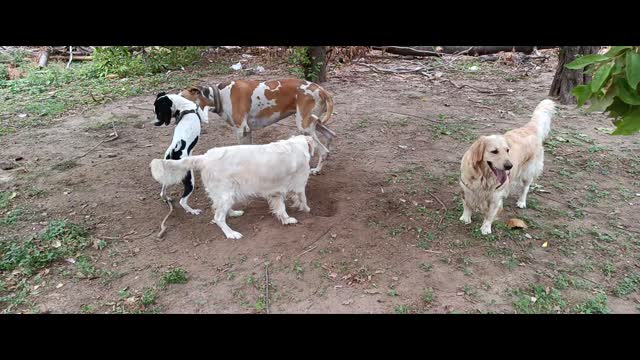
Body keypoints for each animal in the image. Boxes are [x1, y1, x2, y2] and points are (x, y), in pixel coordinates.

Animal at [148, 135, 312, 239]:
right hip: (226, 194)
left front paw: (286, 219)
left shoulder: (275, 192)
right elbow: (302, 198)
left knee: (219, 209)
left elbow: (280, 208)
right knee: (218, 217)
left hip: (225, 194)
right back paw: (231, 234)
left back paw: (233, 213)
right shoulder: (299, 185)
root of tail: (204, 157)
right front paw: (306, 210)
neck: (295, 146)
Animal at [178, 80, 332, 174]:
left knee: (324, 151)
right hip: (314, 124)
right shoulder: (247, 131)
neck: (220, 95)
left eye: (180, 99)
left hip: (304, 127)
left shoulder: (241, 130)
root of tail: (321, 89)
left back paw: (317, 170)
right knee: (331, 136)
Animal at [460, 98, 556, 235]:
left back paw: (521, 202)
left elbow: (490, 214)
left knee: (525, 187)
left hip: (528, 172)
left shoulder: (495, 197)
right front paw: (465, 218)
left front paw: (486, 228)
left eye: (507, 150)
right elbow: (467, 204)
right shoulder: (467, 188)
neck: (484, 176)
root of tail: (529, 128)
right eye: (494, 151)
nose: (509, 166)